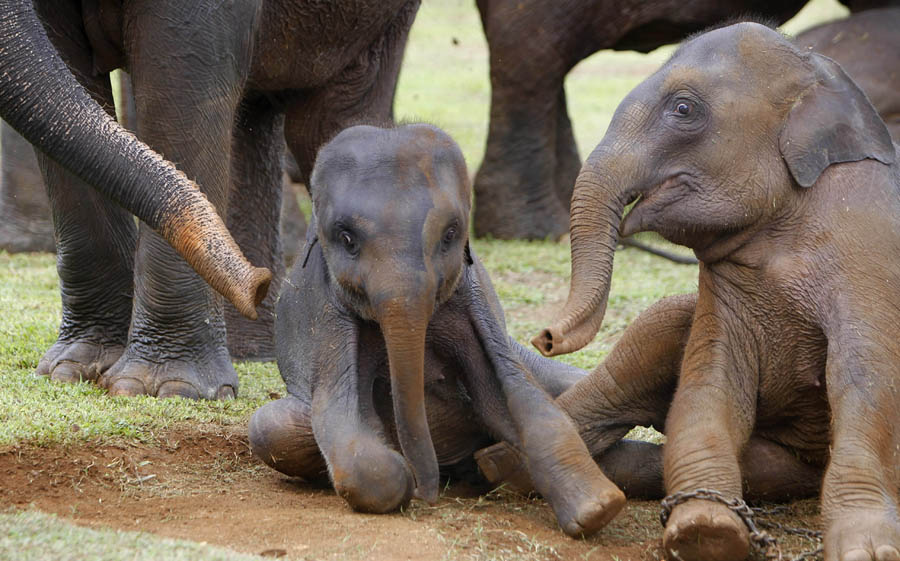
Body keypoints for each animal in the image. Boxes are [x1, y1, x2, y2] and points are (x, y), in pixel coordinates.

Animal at [4, 0, 418, 398]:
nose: (257, 284)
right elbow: (69, 57)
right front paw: (74, 370)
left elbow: (181, 85)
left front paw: (163, 388)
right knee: (259, 113)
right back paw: (251, 349)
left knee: (330, 118)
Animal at [248, 123, 624, 540]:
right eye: (346, 238)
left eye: (450, 234)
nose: (427, 494)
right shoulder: (328, 315)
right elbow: (342, 415)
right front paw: (401, 477)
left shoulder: (471, 300)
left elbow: (513, 395)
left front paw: (599, 509)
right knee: (273, 426)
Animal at [528, 20, 900, 560]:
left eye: (684, 109)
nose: (545, 338)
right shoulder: (724, 288)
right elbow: (710, 386)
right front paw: (707, 532)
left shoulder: (870, 252)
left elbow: (868, 378)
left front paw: (865, 550)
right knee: (650, 341)